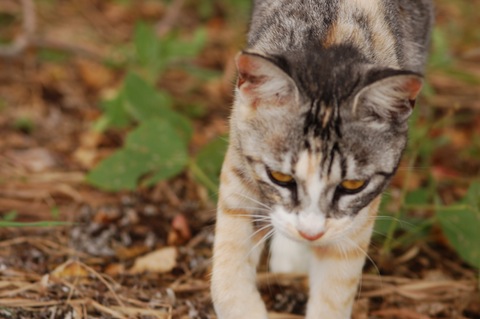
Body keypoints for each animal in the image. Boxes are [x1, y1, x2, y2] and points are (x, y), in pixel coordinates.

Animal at [212, 1, 434, 318]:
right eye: (280, 177)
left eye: (353, 185)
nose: (310, 233)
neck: (333, 35)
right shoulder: (241, 149)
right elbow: (230, 261)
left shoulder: (356, 215)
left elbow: (337, 284)